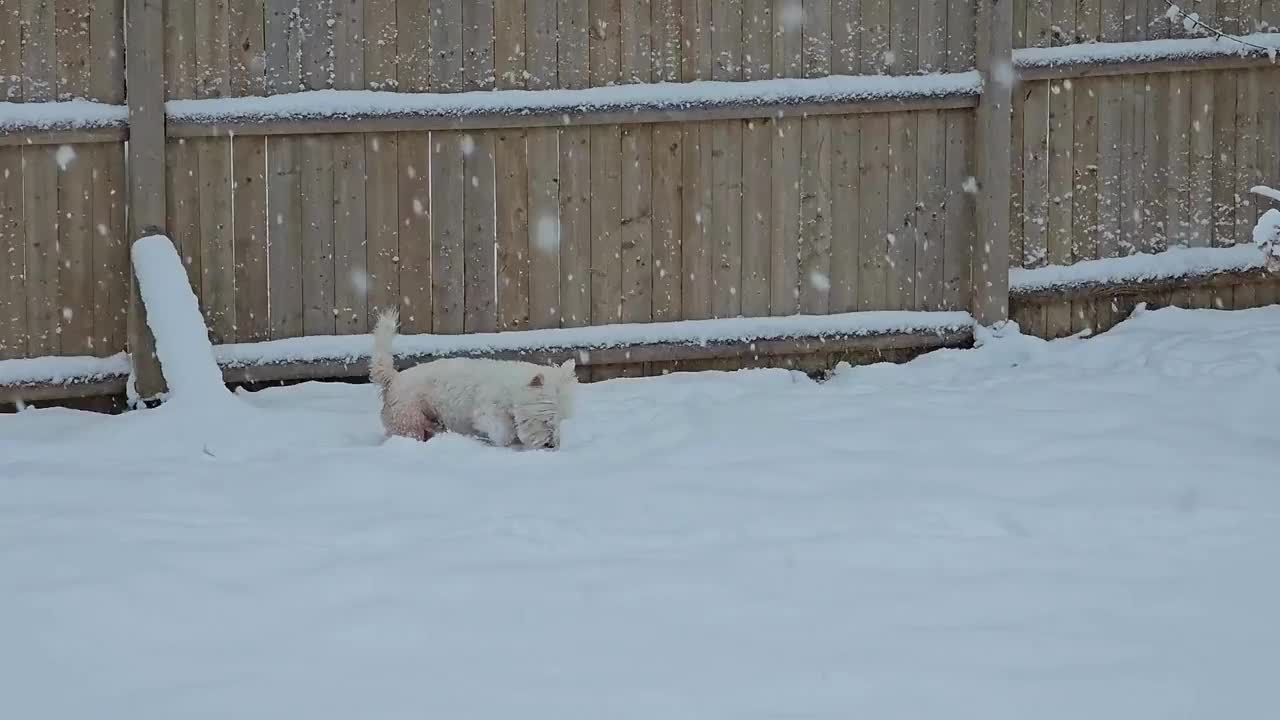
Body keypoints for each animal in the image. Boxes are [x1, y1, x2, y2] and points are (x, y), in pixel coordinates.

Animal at [368, 310, 573, 448]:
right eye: (546, 420)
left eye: (560, 422)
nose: (551, 445)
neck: (511, 391)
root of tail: (393, 377)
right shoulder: (487, 411)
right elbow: (503, 431)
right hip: (408, 418)